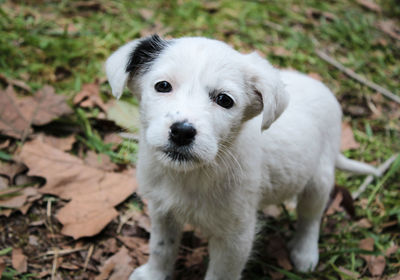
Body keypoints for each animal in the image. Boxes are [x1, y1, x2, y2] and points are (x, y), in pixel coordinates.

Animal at [105, 35, 378, 280]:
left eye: (224, 100)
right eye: (162, 86)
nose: (182, 132)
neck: (192, 174)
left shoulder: (235, 238)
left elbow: (220, 275)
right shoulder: (163, 212)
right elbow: (161, 248)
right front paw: (154, 274)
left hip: (319, 178)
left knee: (310, 217)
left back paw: (305, 252)